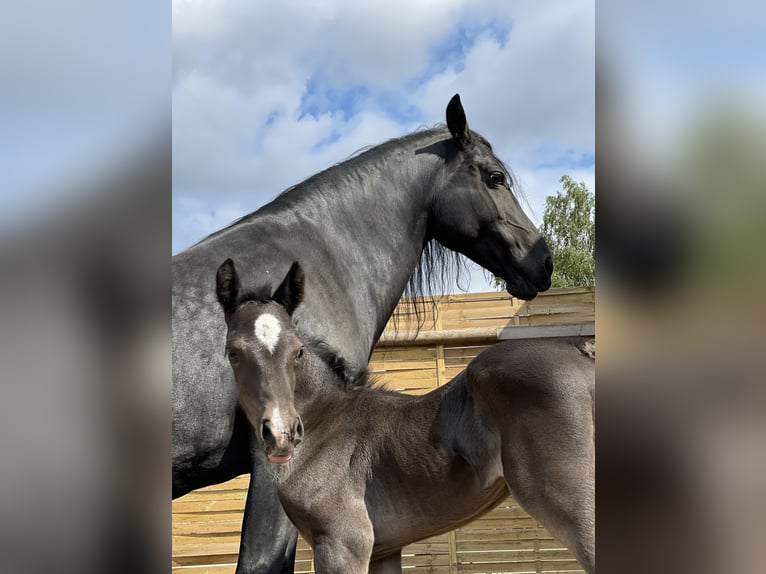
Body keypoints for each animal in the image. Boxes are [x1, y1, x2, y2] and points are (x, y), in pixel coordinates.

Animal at [215, 259, 595, 574]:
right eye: (233, 352)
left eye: (298, 351)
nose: (282, 433)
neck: (324, 421)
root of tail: (581, 350)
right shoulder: (383, 550)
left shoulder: (343, 542)